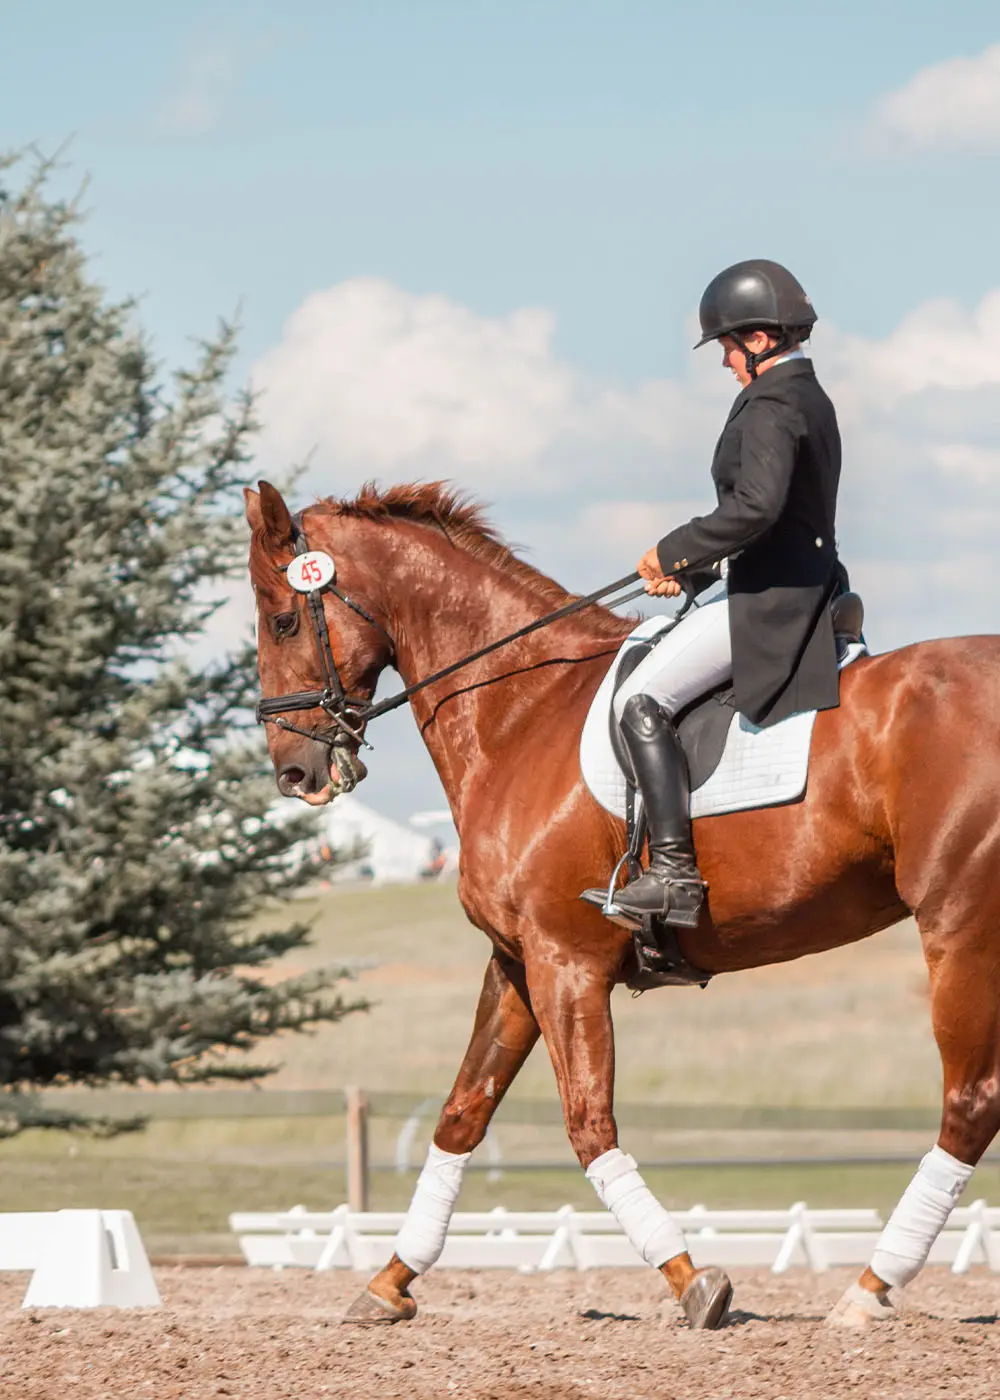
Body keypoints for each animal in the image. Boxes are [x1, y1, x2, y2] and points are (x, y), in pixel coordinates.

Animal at [245, 481, 997, 1332]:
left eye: (281, 619)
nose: (294, 773)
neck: (519, 708)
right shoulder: (517, 961)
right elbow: (463, 1111)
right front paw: (389, 1280)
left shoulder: (566, 963)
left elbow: (587, 1122)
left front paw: (693, 1281)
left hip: (960, 926)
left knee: (970, 1102)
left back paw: (868, 1290)